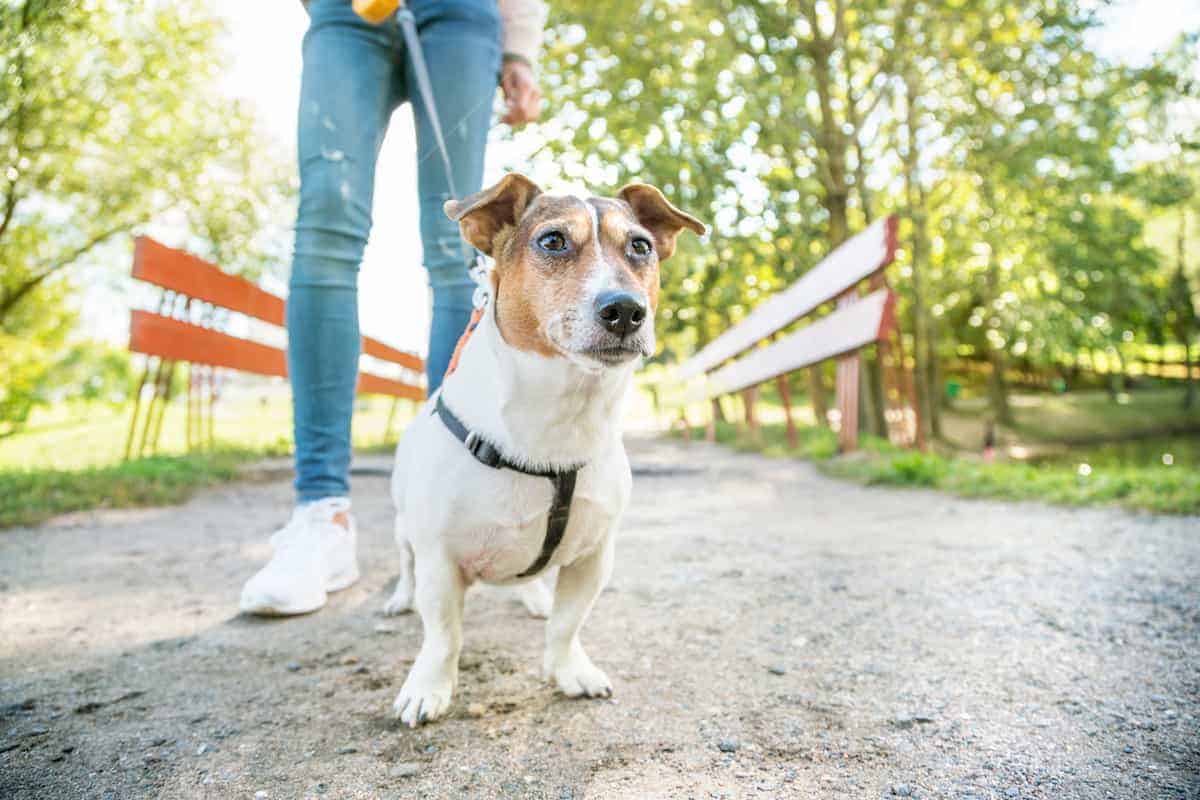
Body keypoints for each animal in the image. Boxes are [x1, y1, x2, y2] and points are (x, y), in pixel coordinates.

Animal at [381, 170, 700, 724]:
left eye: (640, 246)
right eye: (552, 241)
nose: (625, 310)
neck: (561, 415)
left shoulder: (593, 559)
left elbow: (567, 625)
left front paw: (569, 669)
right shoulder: (439, 561)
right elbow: (443, 637)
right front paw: (428, 687)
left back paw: (533, 596)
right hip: (405, 529)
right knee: (405, 564)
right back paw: (402, 597)